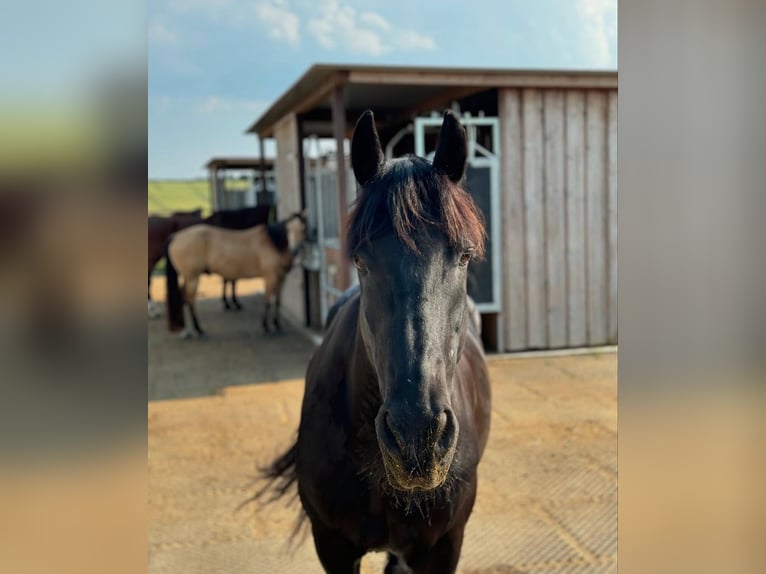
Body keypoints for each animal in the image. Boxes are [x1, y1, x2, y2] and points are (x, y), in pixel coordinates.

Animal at [164, 212, 306, 338]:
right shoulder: (270, 278)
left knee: (183, 298)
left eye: (302, 229)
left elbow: (277, 301)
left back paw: (187, 331)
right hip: (192, 278)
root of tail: (175, 237)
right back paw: (198, 330)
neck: (273, 243)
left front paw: (277, 325)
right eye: (288, 229)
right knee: (189, 300)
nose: (294, 250)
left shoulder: (281, 278)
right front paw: (266, 327)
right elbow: (267, 301)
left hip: (188, 278)